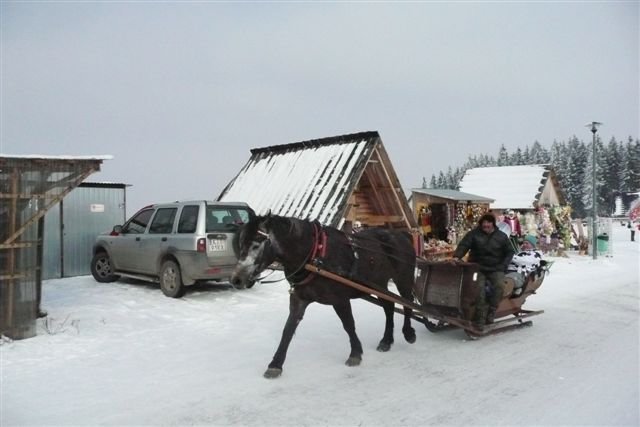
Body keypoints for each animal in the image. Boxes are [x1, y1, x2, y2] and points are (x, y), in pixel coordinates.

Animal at [232, 213, 418, 378]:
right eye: (240, 243)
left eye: (257, 244)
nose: (236, 280)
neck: (314, 255)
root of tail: (402, 235)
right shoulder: (299, 299)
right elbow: (288, 330)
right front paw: (275, 364)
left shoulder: (340, 299)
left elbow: (349, 325)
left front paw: (355, 353)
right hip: (380, 283)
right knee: (389, 306)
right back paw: (386, 341)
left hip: (403, 279)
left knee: (407, 302)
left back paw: (408, 333)